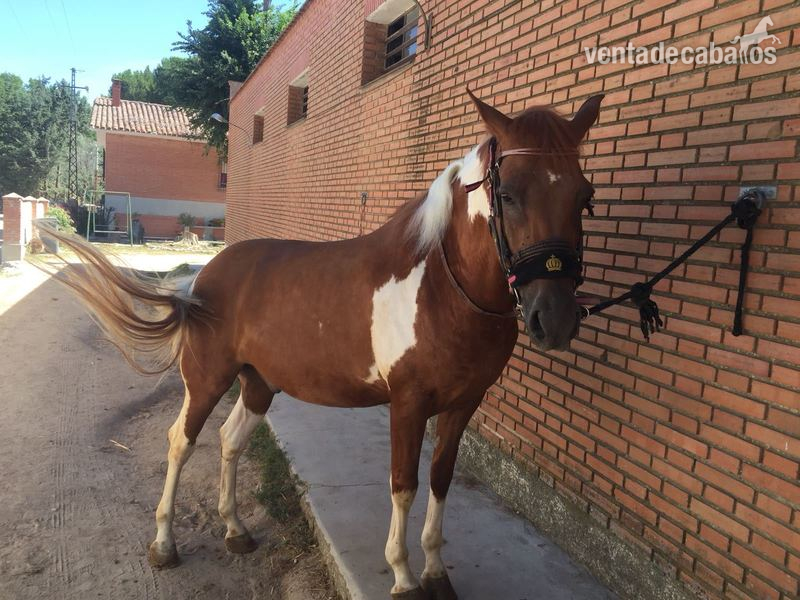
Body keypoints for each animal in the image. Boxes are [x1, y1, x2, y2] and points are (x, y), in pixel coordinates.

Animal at [44, 90, 604, 600]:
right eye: (508, 195)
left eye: (584, 197)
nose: (554, 319)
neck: (443, 288)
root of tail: (202, 279)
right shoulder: (408, 405)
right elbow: (403, 485)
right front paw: (403, 578)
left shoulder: (462, 405)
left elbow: (440, 480)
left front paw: (435, 573)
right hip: (206, 380)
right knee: (181, 442)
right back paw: (164, 545)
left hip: (259, 384)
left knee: (230, 440)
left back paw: (236, 531)